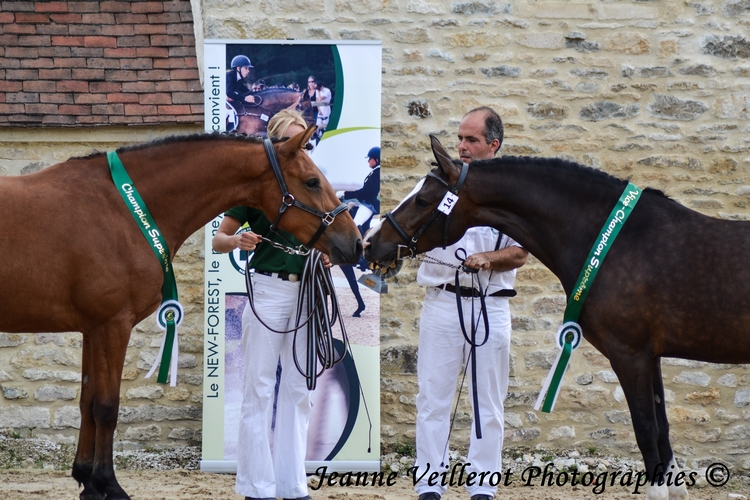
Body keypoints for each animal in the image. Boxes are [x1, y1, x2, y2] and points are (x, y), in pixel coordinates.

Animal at [0, 126, 364, 500]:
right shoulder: (112, 326)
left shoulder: (93, 329)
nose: (355, 243)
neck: (120, 210)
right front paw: (109, 483)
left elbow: (88, 403)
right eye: (311, 181)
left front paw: (87, 481)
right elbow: (107, 407)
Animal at [362, 134, 748, 500]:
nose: (371, 243)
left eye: (423, 200)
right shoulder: (650, 356)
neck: (621, 241)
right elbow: (662, 425)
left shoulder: (630, 354)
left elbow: (646, 428)